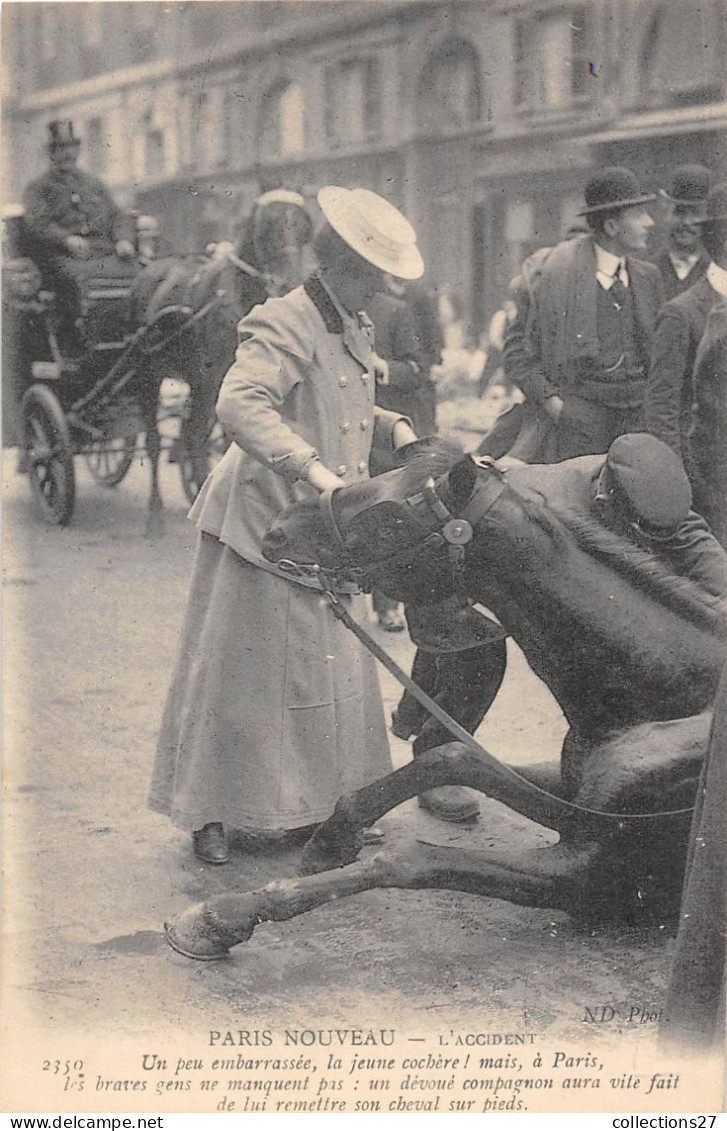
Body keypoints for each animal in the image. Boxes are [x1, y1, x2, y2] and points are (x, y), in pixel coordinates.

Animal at [165, 436, 727, 959]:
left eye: (390, 521)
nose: (279, 528)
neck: (668, 691)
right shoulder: (570, 805)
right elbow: (453, 757)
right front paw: (331, 838)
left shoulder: (593, 877)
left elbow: (412, 857)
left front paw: (221, 917)